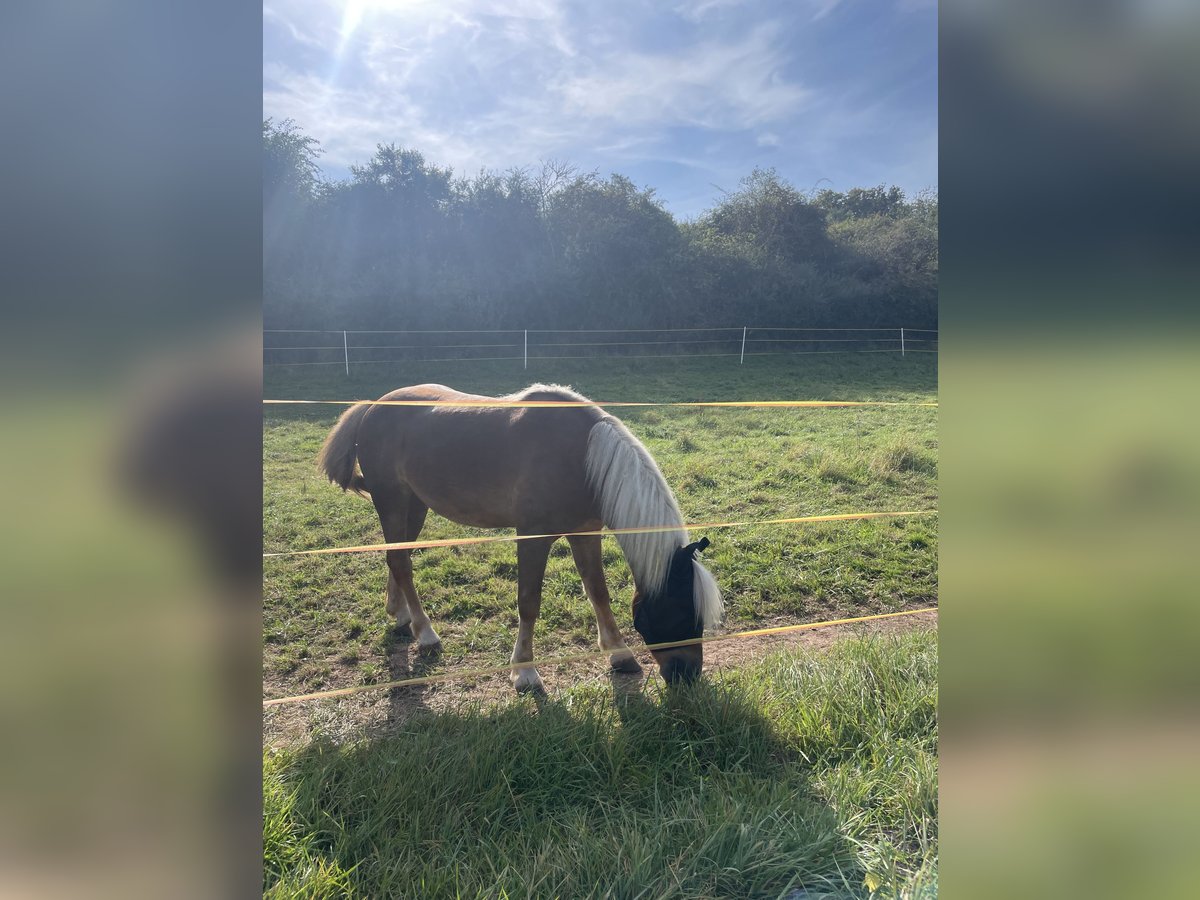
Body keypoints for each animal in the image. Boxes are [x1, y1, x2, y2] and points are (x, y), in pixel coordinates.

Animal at [314, 381, 720, 691]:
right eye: (678, 611)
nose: (687, 675)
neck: (582, 455)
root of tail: (372, 407)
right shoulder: (533, 537)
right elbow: (528, 602)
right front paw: (525, 672)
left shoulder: (585, 533)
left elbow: (598, 592)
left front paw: (619, 653)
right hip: (393, 502)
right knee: (400, 560)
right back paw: (426, 633)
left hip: (415, 506)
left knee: (397, 557)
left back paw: (401, 616)